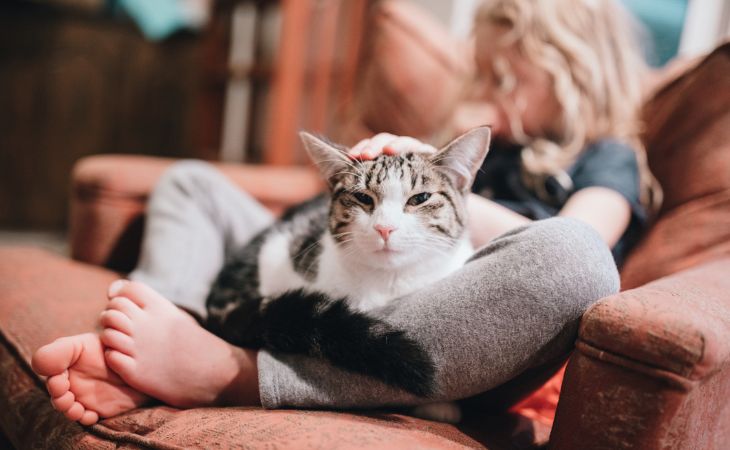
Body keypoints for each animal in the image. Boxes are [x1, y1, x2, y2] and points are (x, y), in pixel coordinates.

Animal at [203, 125, 490, 422]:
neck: (389, 281)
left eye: (420, 198)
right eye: (363, 197)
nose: (385, 228)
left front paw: (443, 406)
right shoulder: (279, 253)